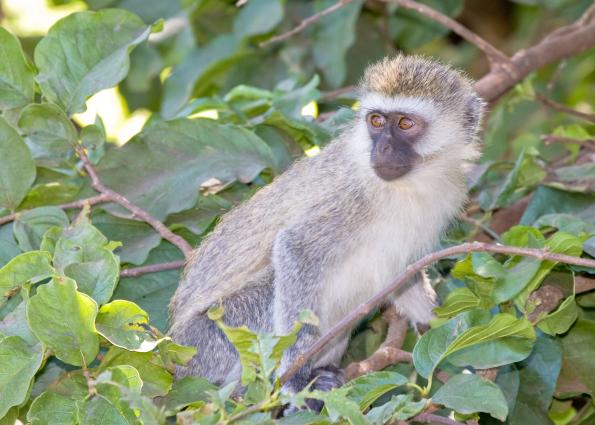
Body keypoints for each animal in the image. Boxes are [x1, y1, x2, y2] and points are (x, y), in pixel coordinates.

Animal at [170, 53, 486, 398]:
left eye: (405, 123)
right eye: (376, 121)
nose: (382, 149)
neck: (408, 187)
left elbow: (402, 274)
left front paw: (446, 326)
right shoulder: (351, 198)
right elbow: (295, 247)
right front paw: (294, 379)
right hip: (210, 340)